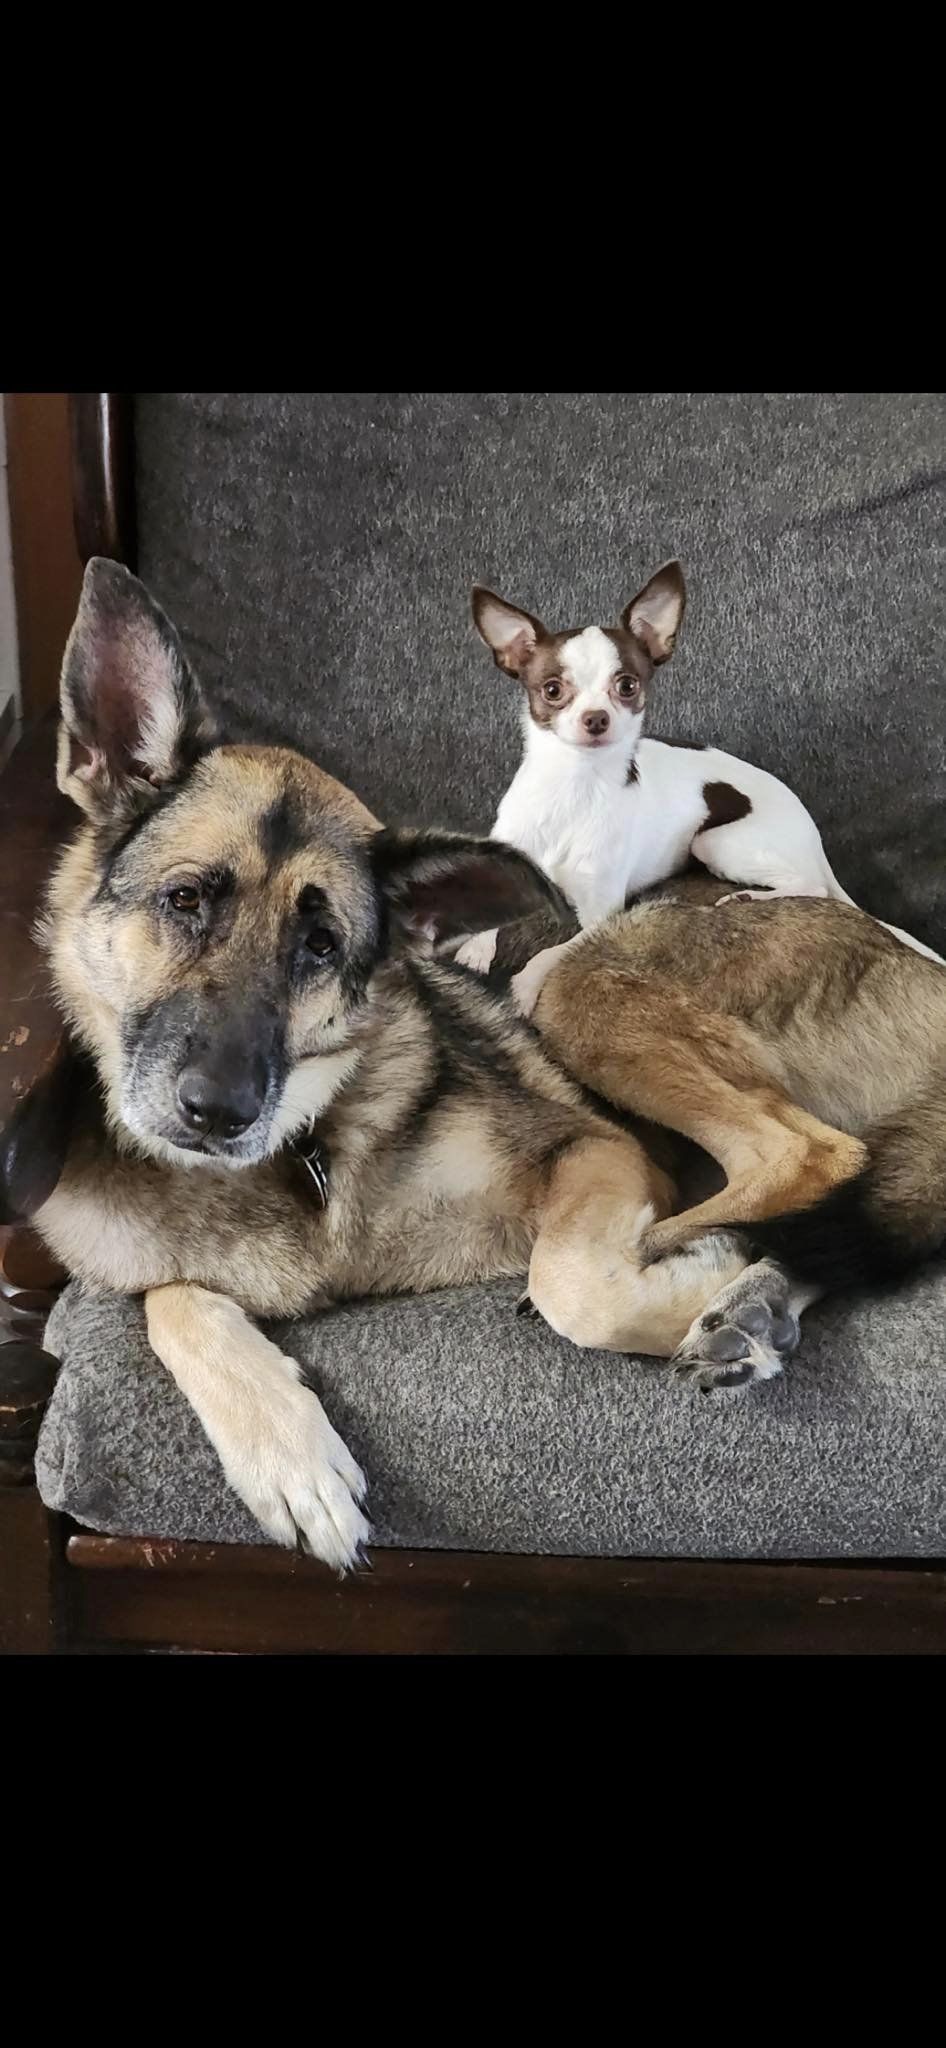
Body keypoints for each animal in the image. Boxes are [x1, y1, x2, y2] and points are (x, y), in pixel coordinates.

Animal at [454, 561, 941, 1007]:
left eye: (627, 686)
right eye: (552, 690)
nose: (596, 719)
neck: (573, 786)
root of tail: (810, 830)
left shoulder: (601, 916)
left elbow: (551, 953)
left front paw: (524, 984)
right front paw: (476, 949)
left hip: (716, 843)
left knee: (814, 887)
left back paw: (749, 897)